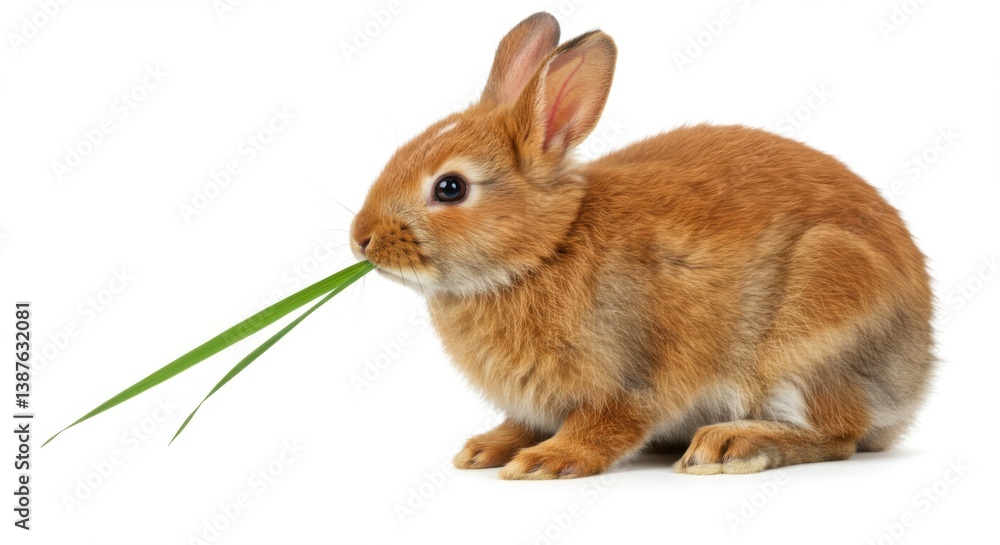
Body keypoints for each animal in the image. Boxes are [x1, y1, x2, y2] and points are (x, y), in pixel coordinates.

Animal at [349, 12, 934, 479]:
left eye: (450, 188)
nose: (361, 240)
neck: (547, 248)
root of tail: (916, 376)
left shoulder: (631, 374)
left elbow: (607, 422)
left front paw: (546, 461)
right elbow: (526, 422)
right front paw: (485, 449)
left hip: (815, 326)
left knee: (839, 435)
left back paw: (731, 444)